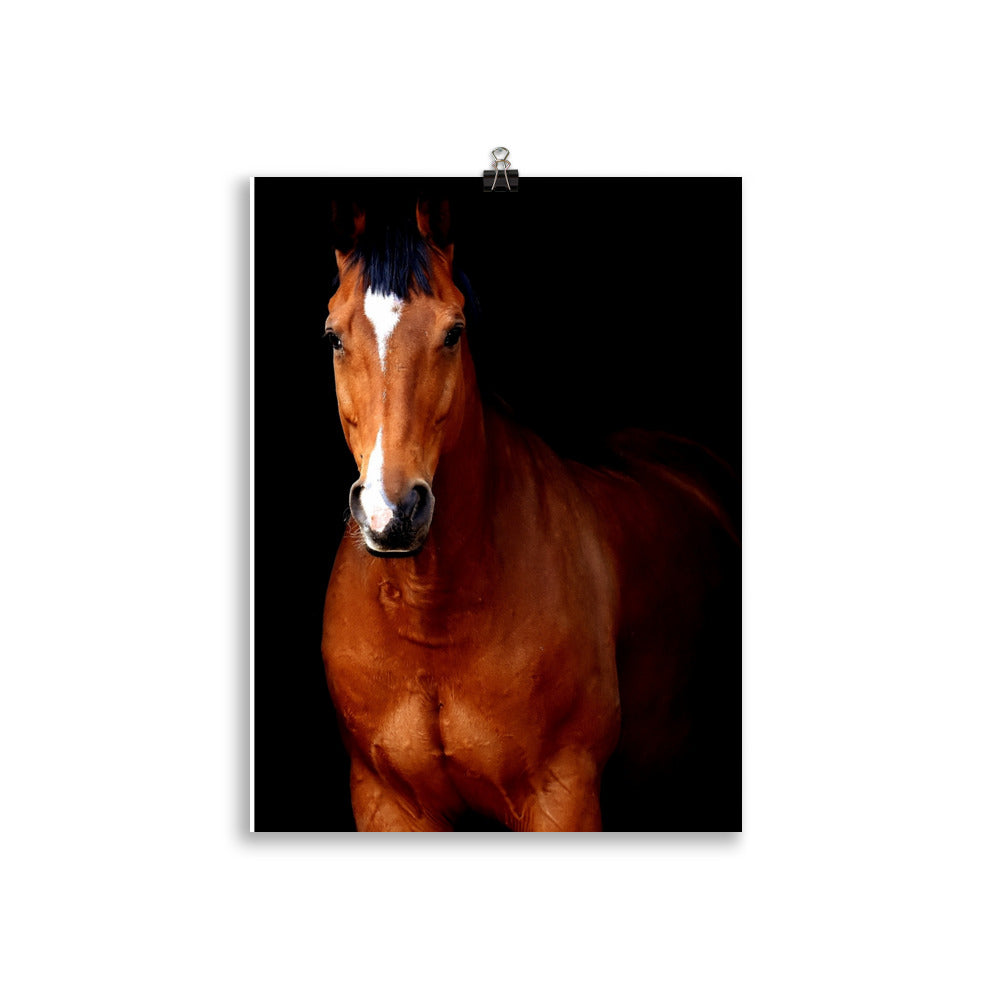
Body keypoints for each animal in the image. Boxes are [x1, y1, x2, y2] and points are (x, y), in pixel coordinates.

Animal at [320, 197, 740, 831]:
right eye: (334, 337)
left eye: (454, 333)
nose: (391, 512)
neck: (432, 616)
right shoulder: (385, 800)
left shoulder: (561, 795)